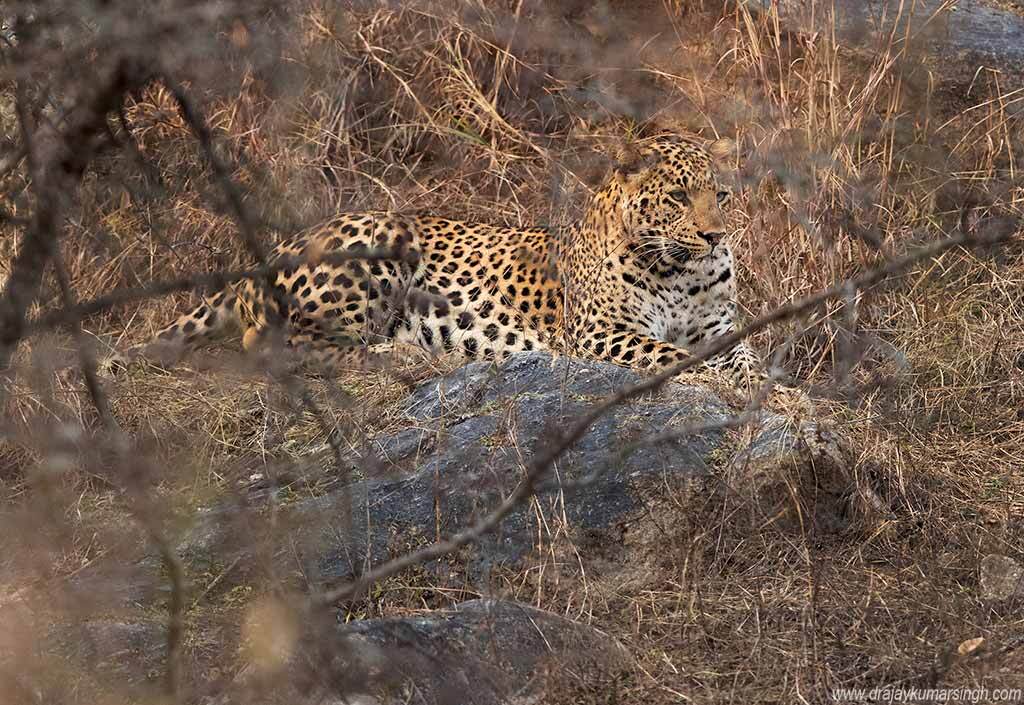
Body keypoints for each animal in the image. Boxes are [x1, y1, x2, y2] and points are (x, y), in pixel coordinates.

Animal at [114, 134, 765, 387]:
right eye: (678, 196)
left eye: (720, 195)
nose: (715, 236)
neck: (679, 271)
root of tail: (272, 251)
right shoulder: (601, 332)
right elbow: (675, 354)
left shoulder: (721, 327)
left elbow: (743, 361)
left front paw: (775, 391)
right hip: (380, 237)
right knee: (275, 345)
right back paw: (406, 355)